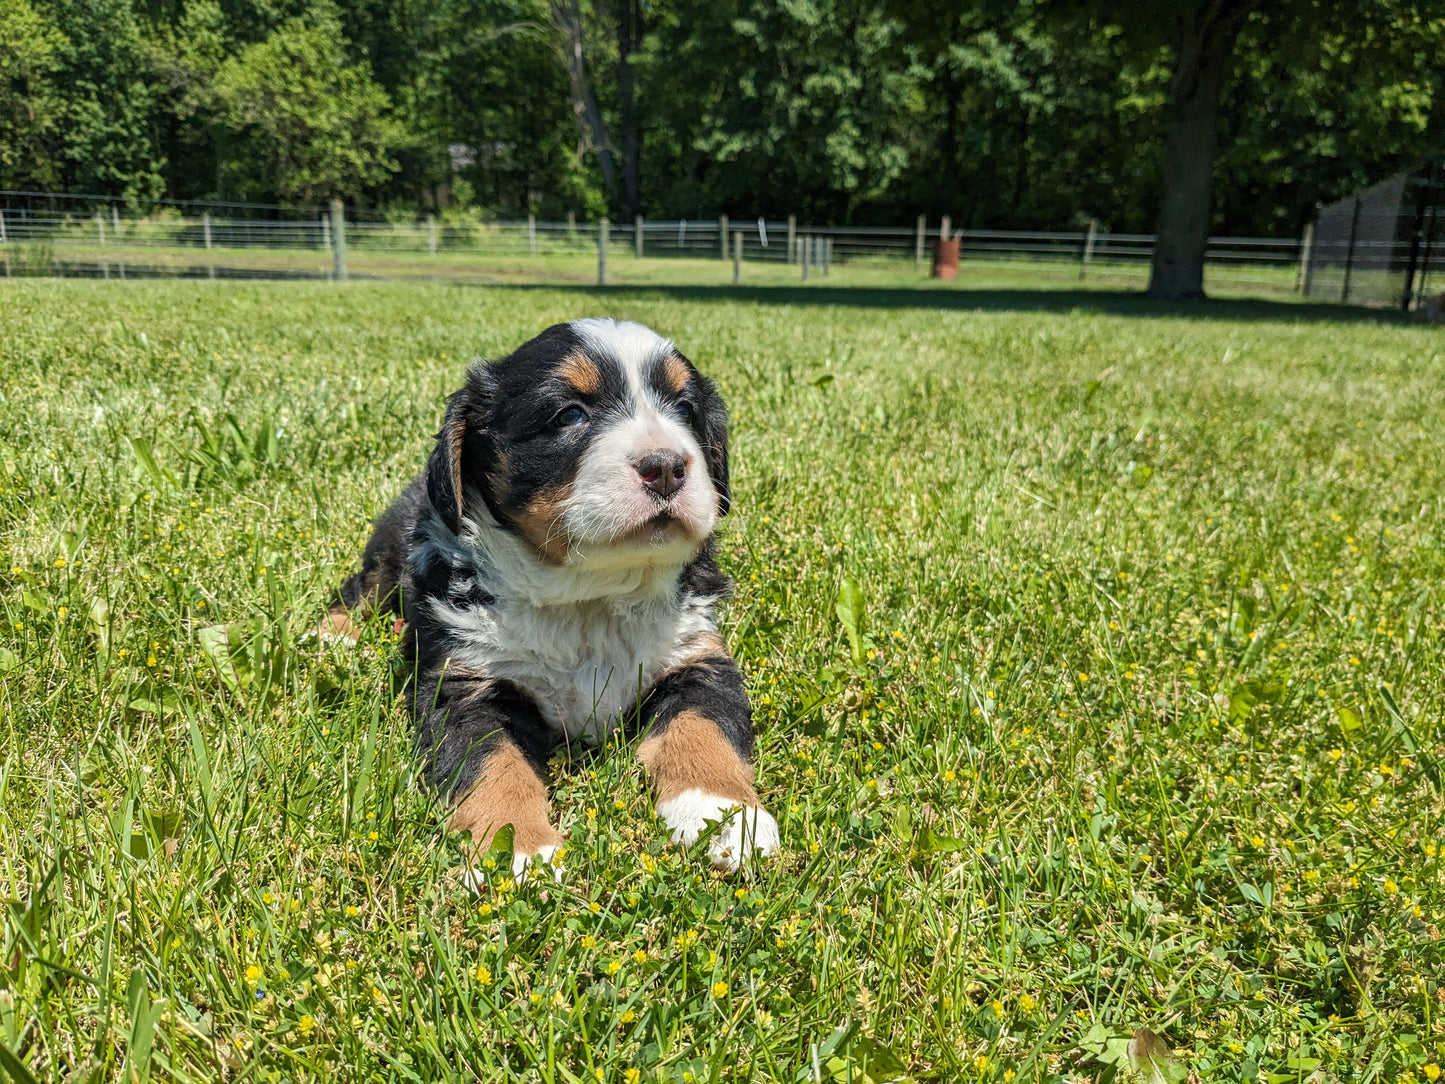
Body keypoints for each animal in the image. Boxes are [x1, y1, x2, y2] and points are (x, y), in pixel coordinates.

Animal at [328, 317, 780, 878]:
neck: (589, 598)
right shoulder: (468, 687)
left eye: (685, 410)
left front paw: (724, 815)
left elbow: (704, 730)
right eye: (570, 415)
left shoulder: (696, 657)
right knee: (358, 588)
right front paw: (519, 853)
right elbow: (494, 766)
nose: (667, 466)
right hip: (389, 555)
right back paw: (331, 637)